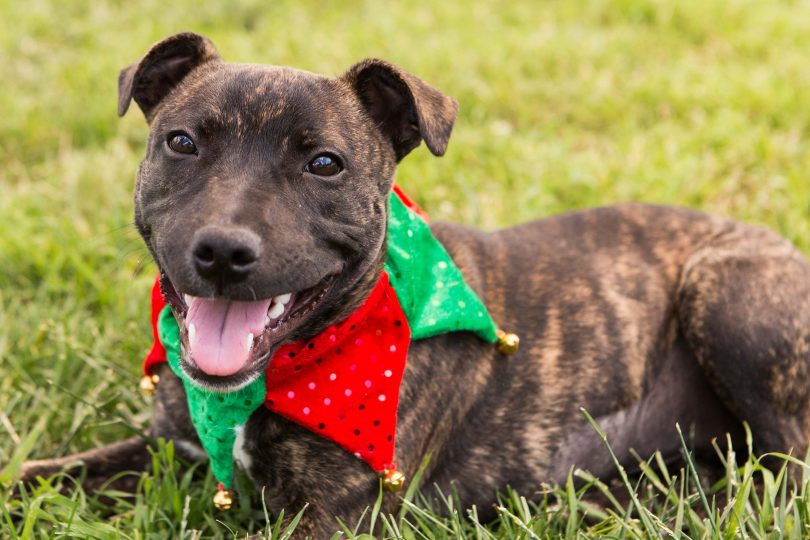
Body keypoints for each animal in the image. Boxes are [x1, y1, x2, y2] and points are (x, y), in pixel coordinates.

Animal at [17, 31, 808, 536]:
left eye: (325, 164)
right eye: (181, 142)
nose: (221, 251)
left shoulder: (333, 516)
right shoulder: (172, 447)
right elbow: (33, 473)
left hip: (725, 293)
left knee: (787, 470)